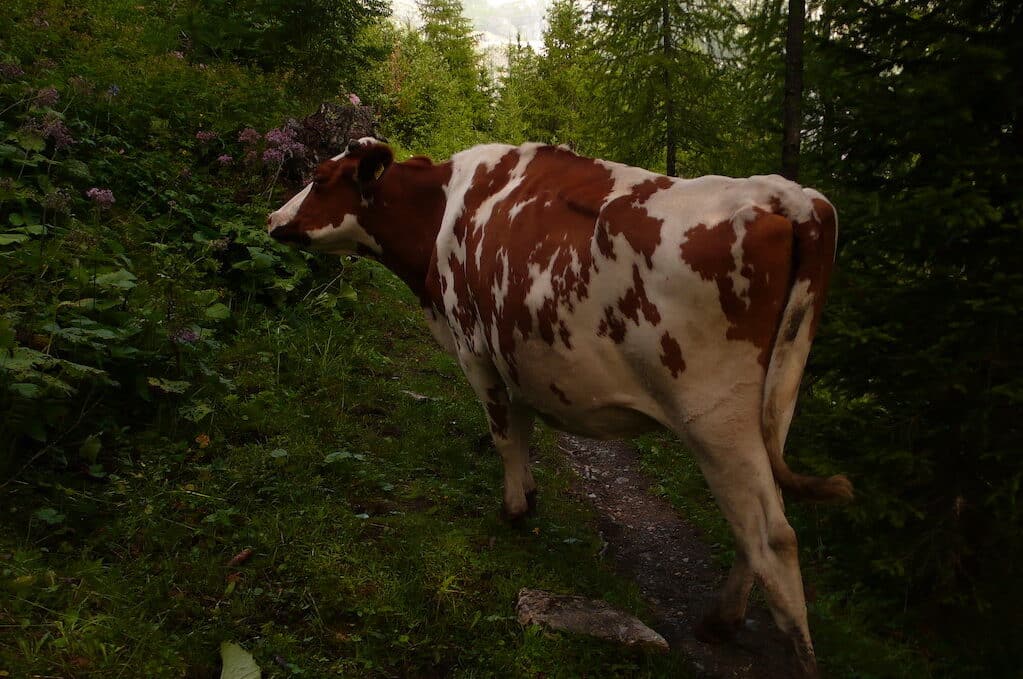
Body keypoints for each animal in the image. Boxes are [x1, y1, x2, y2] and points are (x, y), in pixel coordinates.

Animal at [268, 138, 851, 674]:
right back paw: (720, 619)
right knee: (760, 519)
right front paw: (529, 494)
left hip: (713, 416)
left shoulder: (475, 349)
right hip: (772, 403)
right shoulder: (514, 352)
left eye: (319, 179)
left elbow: (504, 433)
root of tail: (786, 196)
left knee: (773, 537)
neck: (441, 213)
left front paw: (514, 510)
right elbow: (523, 428)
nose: (273, 217)